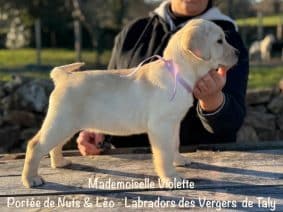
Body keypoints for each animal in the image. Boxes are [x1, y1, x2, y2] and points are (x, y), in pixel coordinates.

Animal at [22, 19, 240, 187]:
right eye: (220, 41)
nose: (238, 53)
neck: (177, 72)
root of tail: (63, 77)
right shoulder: (161, 126)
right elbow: (164, 153)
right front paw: (171, 177)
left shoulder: (173, 124)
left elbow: (175, 144)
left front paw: (179, 160)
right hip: (61, 122)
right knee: (35, 145)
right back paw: (31, 179)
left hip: (66, 125)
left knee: (54, 145)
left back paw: (59, 162)